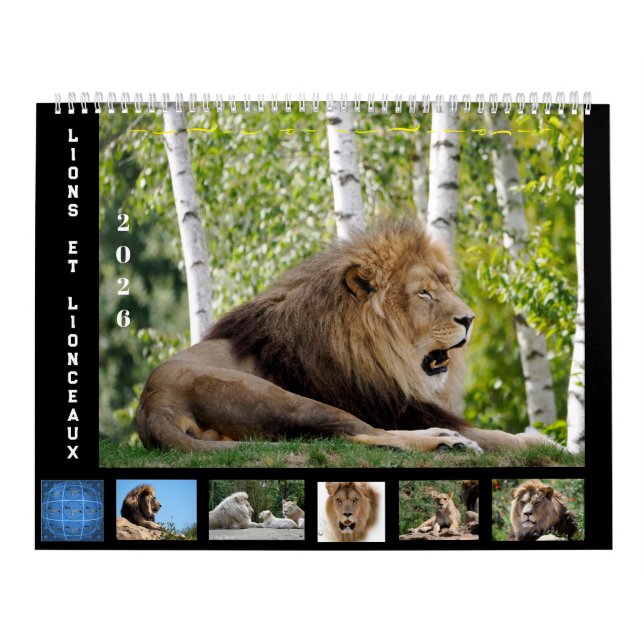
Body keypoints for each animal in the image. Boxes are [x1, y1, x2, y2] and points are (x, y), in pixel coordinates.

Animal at [137, 220, 551, 453]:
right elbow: (498, 437)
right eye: (423, 293)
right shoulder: (385, 404)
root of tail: (153, 406)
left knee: (350, 436)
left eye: (446, 284)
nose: (469, 319)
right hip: (281, 399)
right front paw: (542, 441)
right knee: (362, 433)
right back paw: (447, 441)